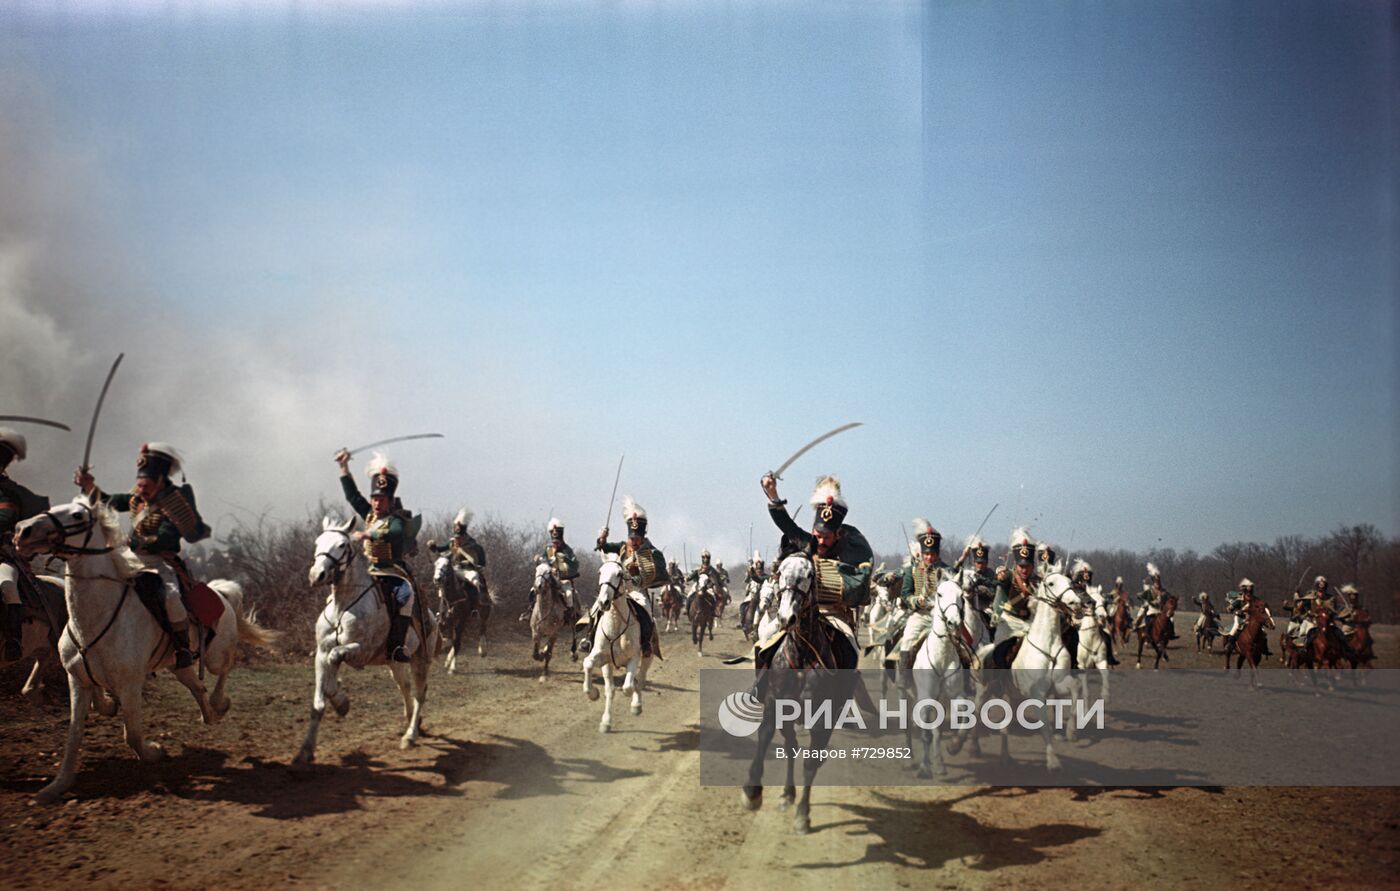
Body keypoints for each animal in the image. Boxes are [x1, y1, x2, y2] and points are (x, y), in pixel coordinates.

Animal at [14, 493, 278, 806]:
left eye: (78, 516)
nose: (23, 530)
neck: (96, 618)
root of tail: (221, 594)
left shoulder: (130, 685)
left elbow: (132, 734)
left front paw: (153, 751)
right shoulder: (77, 680)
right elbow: (74, 733)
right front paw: (57, 785)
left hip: (214, 655)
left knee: (225, 669)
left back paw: (219, 704)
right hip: (178, 666)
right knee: (197, 687)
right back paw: (209, 715)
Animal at [287, 518, 434, 767]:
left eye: (342, 545)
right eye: (317, 542)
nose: (317, 574)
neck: (342, 606)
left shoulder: (361, 652)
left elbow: (336, 657)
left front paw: (341, 702)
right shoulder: (321, 653)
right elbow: (319, 702)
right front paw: (305, 752)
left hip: (420, 659)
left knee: (419, 693)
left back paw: (410, 735)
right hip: (394, 662)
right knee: (404, 687)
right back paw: (411, 721)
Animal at [588, 560, 658, 734]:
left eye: (619, 574)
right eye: (600, 572)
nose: (603, 602)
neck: (616, 625)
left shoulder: (633, 658)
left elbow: (628, 687)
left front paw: (634, 704)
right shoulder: (604, 659)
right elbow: (606, 686)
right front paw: (594, 696)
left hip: (648, 656)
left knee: (640, 679)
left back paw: (637, 705)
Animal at [739, 557, 856, 834]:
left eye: (810, 574)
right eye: (780, 571)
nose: (786, 617)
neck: (803, 653)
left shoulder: (821, 719)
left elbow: (810, 762)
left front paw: (803, 814)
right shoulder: (775, 704)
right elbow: (765, 737)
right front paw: (752, 792)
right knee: (791, 747)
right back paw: (787, 794)